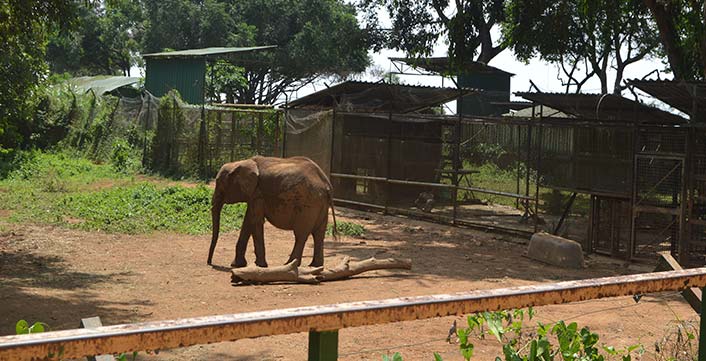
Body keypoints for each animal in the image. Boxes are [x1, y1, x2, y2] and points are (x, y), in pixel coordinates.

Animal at [205, 155, 336, 268]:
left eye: (219, 185)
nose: (209, 263)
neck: (241, 162)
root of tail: (326, 184)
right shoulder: (253, 195)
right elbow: (248, 221)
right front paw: (237, 265)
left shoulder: (257, 194)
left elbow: (255, 222)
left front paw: (260, 265)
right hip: (321, 205)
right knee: (319, 234)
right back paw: (315, 266)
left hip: (308, 205)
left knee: (301, 235)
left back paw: (288, 264)